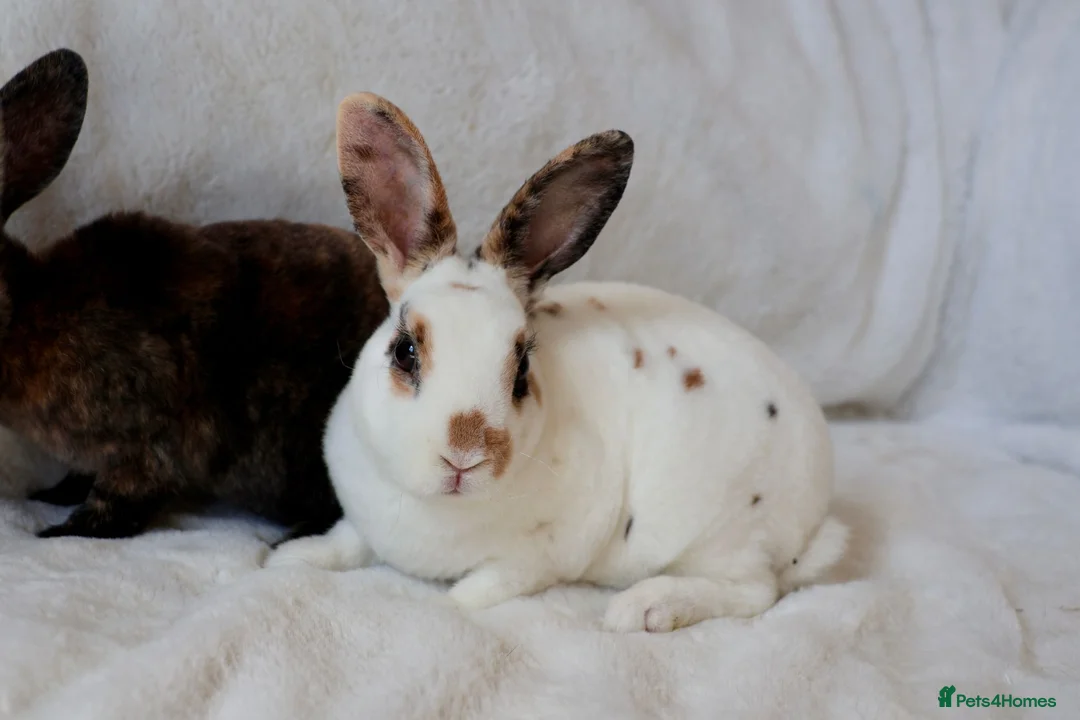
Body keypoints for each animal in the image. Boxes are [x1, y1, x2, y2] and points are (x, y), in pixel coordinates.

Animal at [265, 92, 849, 633]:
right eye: (404, 350)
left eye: (522, 369)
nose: (464, 455)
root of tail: (815, 515)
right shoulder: (360, 522)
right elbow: (344, 543)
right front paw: (289, 558)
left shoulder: (534, 559)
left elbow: (474, 593)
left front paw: (437, 609)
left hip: (724, 533)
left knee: (756, 591)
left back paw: (643, 609)